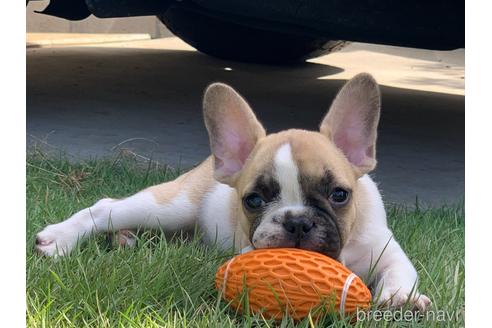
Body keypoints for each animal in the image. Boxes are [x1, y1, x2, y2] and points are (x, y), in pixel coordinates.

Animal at [34, 73, 430, 310]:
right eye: (252, 201)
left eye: (339, 195)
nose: (297, 222)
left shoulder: (387, 250)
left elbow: (400, 271)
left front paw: (401, 298)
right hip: (170, 206)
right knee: (106, 207)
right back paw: (60, 238)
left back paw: (126, 239)